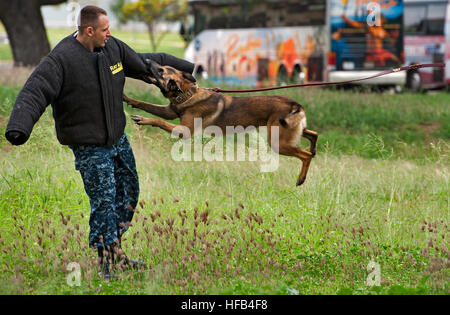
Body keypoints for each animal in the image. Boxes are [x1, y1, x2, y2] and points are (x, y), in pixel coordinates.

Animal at [125, 63, 318, 186]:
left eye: (160, 70)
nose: (147, 60)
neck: (188, 93)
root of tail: (295, 104)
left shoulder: (183, 131)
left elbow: (158, 120)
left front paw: (143, 120)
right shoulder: (169, 112)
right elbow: (144, 104)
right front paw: (126, 98)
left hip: (278, 142)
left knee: (306, 155)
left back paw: (301, 178)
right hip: (290, 131)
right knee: (313, 134)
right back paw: (314, 149)